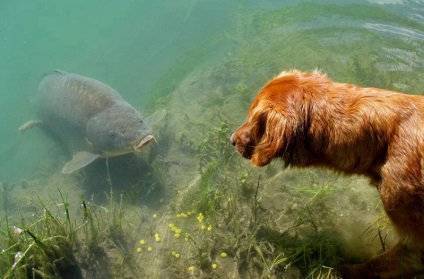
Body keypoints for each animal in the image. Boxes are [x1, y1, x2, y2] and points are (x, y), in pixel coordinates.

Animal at [230, 70, 424, 279]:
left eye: (253, 119)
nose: (231, 139)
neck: (384, 141)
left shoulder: (414, 241)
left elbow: (379, 264)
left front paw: (342, 269)